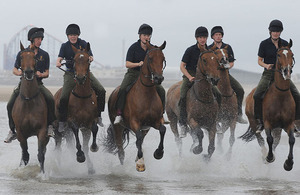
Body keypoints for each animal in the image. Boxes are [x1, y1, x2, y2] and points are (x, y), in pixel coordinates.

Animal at [12, 42, 49, 172]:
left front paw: (42, 174)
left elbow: (40, 155)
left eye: (34, 58)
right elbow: (25, 155)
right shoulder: (20, 133)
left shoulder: (42, 131)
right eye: (21, 57)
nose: (28, 72)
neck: (28, 101)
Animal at [103, 40, 166, 171]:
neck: (147, 94)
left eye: (163, 58)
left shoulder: (155, 121)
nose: (158, 78)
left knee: (140, 140)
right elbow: (138, 138)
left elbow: (162, 130)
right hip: (117, 127)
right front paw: (140, 164)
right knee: (121, 150)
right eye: (150, 58)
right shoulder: (134, 122)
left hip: (146, 128)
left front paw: (158, 153)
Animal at [240, 39, 296, 171]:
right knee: (260, 139)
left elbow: (291, 140)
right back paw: (265, 154)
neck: (280, 95)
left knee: (276, 141)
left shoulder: (288, 124)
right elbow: (269, 139)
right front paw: (269, 157)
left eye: (292, 55)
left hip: (278, 129)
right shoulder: (267, 123)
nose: (287, 71)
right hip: (254, 123)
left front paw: (288, 163)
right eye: (279, 55)